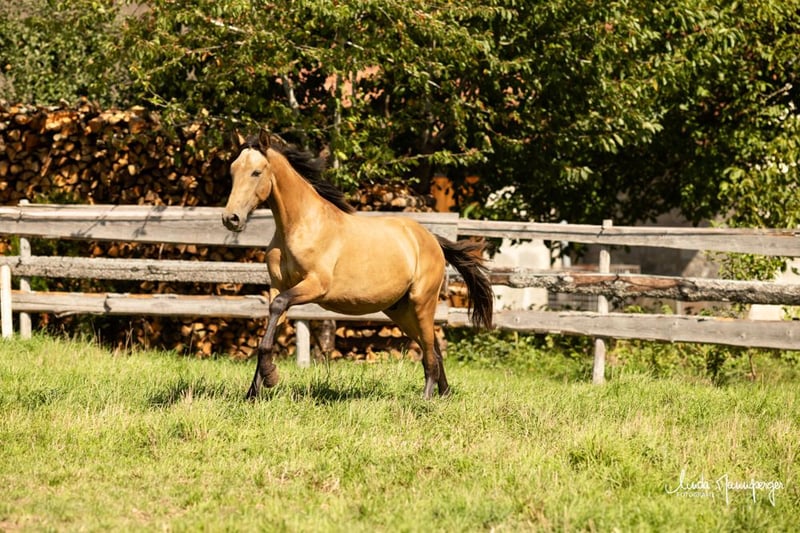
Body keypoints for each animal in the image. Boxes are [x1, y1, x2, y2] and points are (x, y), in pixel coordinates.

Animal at [222, 131, 493, 399]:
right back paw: (445, 394)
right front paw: (253, 393)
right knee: (433, 346)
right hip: (401, 311)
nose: (230, 218)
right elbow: (270, 324)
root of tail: (432, 239)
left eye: (256, 172)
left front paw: (270, 377)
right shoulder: (279, 286)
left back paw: (426, 398)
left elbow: (277, 307)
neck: (301, 225)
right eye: (233, 171)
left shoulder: (315, 286)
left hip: (421, 302)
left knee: (429, 349)